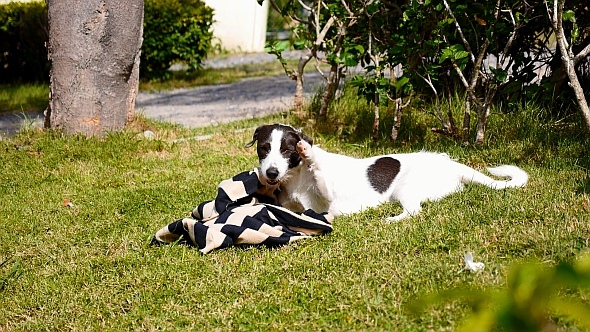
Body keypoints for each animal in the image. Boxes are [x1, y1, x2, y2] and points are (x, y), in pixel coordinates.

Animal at [246, 123, 532, 222]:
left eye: (287, 150)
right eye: (264, 148)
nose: (271, 173)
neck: (295, 178)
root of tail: (452, 164)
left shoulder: (328, 198)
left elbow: (318, 169)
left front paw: (308, 152)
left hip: (405, 188)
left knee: (414, 211)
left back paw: (391, 219)